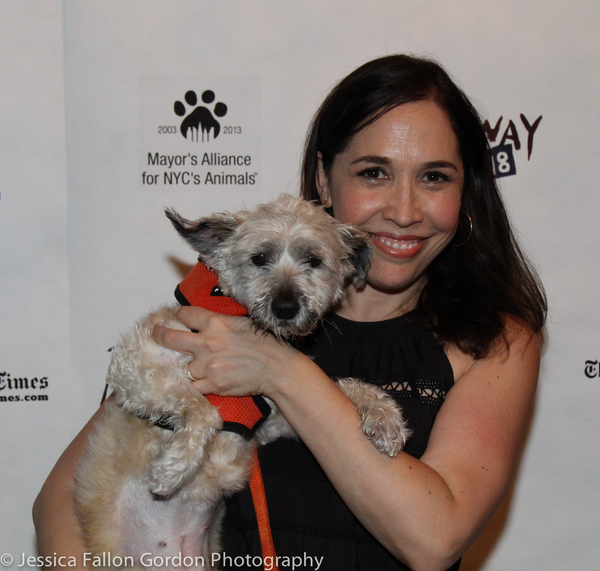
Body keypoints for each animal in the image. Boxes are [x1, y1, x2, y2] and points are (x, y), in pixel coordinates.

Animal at [74, 196, 412, 568]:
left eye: (314, 260)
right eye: (259, 258)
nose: (285, 307)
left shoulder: (273, 416)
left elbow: (339, 385)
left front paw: (384, 415)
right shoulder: (137, 364)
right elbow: (204, 410)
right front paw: (173, 468)